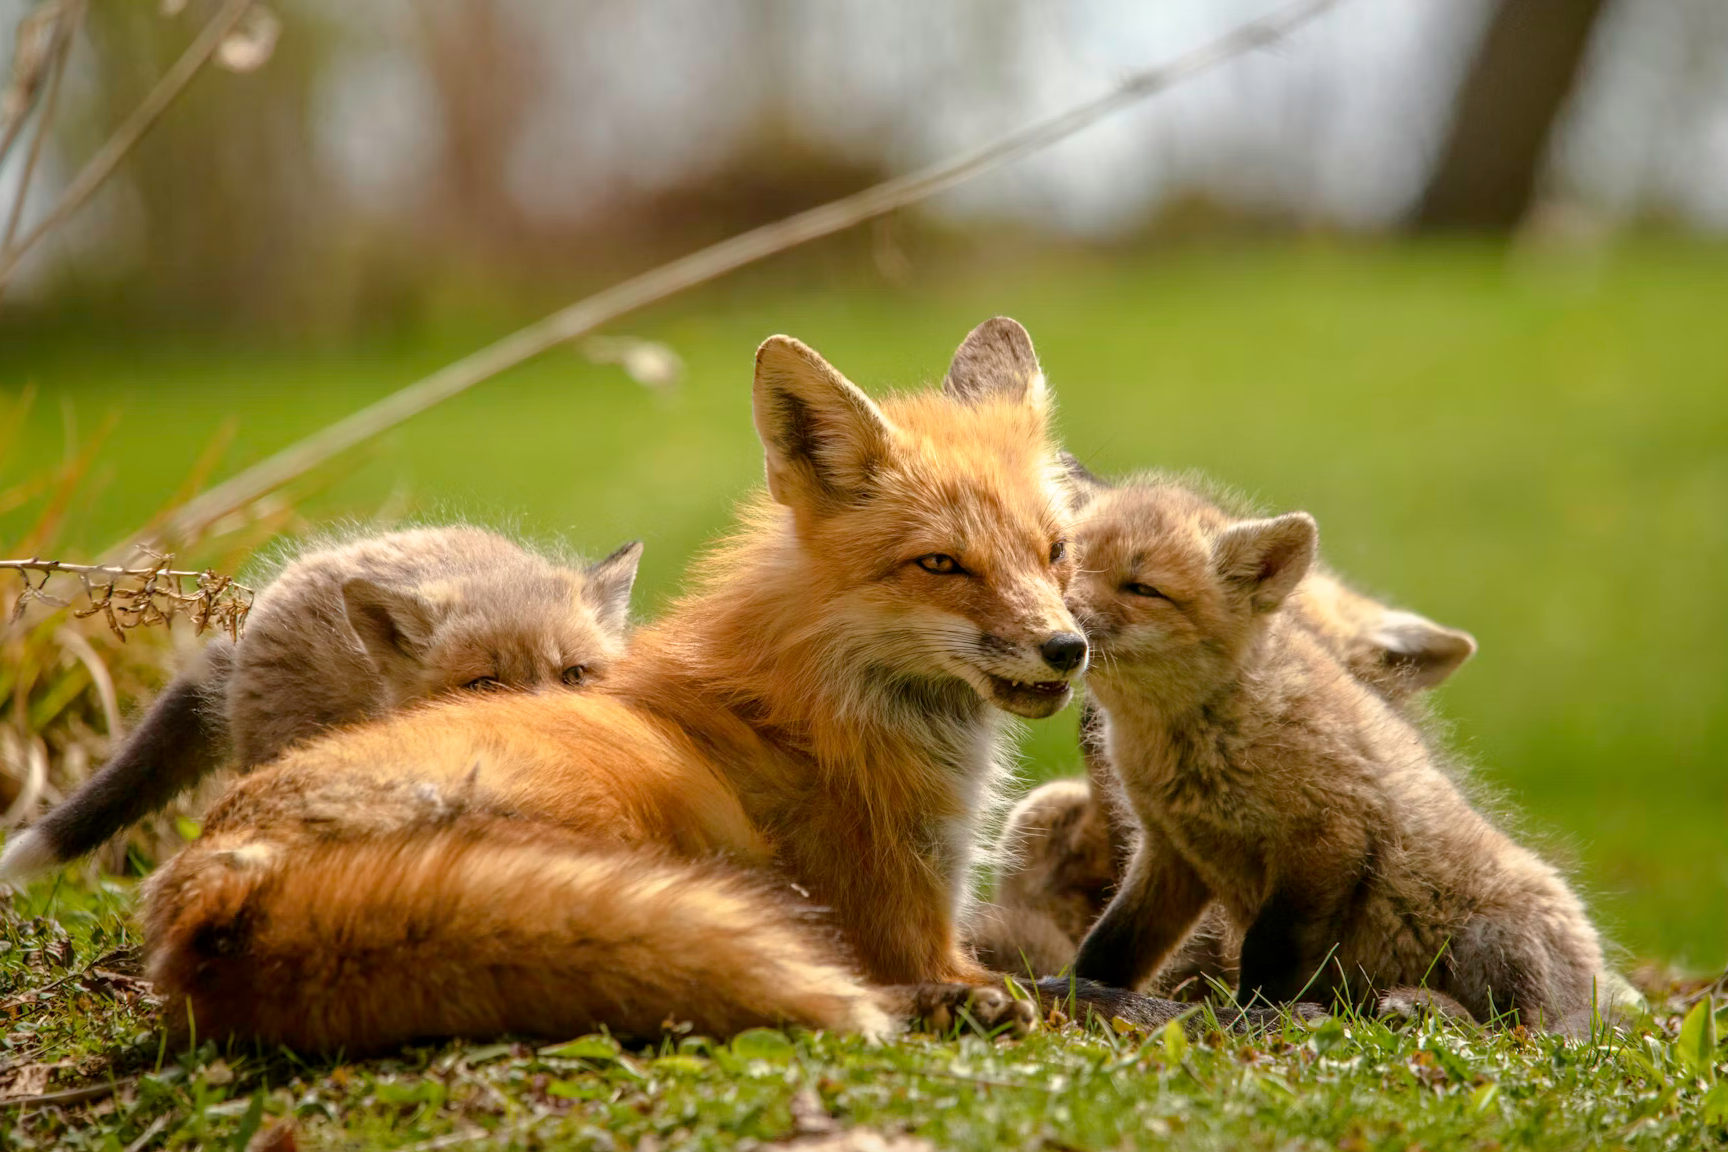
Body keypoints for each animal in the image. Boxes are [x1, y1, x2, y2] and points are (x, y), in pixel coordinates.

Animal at [141, 318, 1201, 1054]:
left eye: (1055, 552)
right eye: (941, 565)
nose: (1067, 649)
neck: (823, 702)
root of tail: (212, 888)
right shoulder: (909, 929)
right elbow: (1085, 992)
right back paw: (947, 1012)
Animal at [1062, 476, 1622, 1030]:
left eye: (1142, 589)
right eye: (1063, 563)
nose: (1063, 629)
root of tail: (1595, 992)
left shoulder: (1328, 840)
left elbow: (1269, 954)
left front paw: (1258, 1019)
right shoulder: (1172, 851)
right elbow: (1111, 945)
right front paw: (1076, 993)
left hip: (1494, 941)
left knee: (1516, 1030)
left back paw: (1425, 1006)